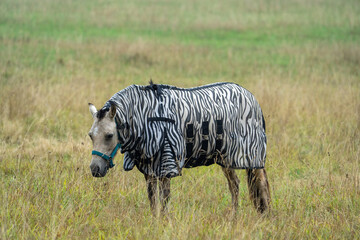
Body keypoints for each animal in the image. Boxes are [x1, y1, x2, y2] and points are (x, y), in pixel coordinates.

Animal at [88, 82, 270, 216]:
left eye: (109, 135)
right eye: (90, 136)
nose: (95, 170)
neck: (147, 118)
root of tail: (249, 95)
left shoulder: (167, 162)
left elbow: (164, 197)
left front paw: (164, 222)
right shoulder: (149, 166)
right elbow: (152, 198)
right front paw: (154, 221)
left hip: (247, 155)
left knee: (257, 184)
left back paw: (255, 215)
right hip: (225, 158)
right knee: (235, 185)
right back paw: (234, 217)